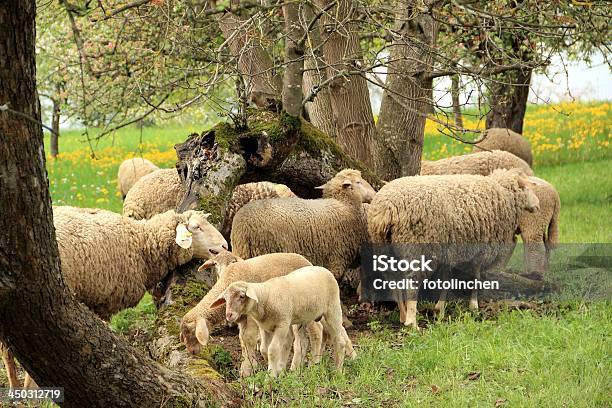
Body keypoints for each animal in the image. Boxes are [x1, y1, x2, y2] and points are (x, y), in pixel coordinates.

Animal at [179, 252, 314, 376]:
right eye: (215, 264)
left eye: (193, 332)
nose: (192, 352)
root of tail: (305, 260)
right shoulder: (241, 318)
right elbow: (242, 340)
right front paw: (247, 367)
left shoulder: (251, 317)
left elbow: (249, 339)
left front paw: (249, 369)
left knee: (308, 336)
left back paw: (303, 366)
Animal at [210, 266, 356, 378]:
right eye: (225, 299)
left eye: (241, 296)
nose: (228, 315)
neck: (266, 296)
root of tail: (323, 268)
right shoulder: (266, 327)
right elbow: (264, 349)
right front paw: (277, 369)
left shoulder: (282, 325)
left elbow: (273, 350)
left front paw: (271, 376)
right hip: (304, 318)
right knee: (302, 343)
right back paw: (298, 371)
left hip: (332, 309)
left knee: (339, 340)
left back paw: (337, 371)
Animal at [366, 169, 536, 328]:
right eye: (527, 187)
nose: (537, 204)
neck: (503, 194)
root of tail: (386, 210)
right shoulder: (482, 250)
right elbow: (476, 276)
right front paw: (473, 304)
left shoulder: (450, 250)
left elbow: (446, 279)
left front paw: (439, 309)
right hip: (416, 247)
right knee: (411, 282)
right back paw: (412, 322)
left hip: (384, 248)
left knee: (393, 279)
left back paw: (403, 314)